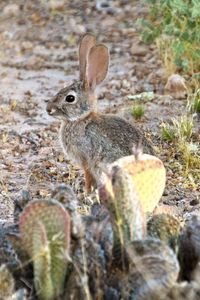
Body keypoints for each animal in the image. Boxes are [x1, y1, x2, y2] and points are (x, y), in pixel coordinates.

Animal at [47, 32, 155, 192]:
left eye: (70, 98)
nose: (48, 109)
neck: (81, 119)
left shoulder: (86, 159)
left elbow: (88, 176)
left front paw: (86, 191)